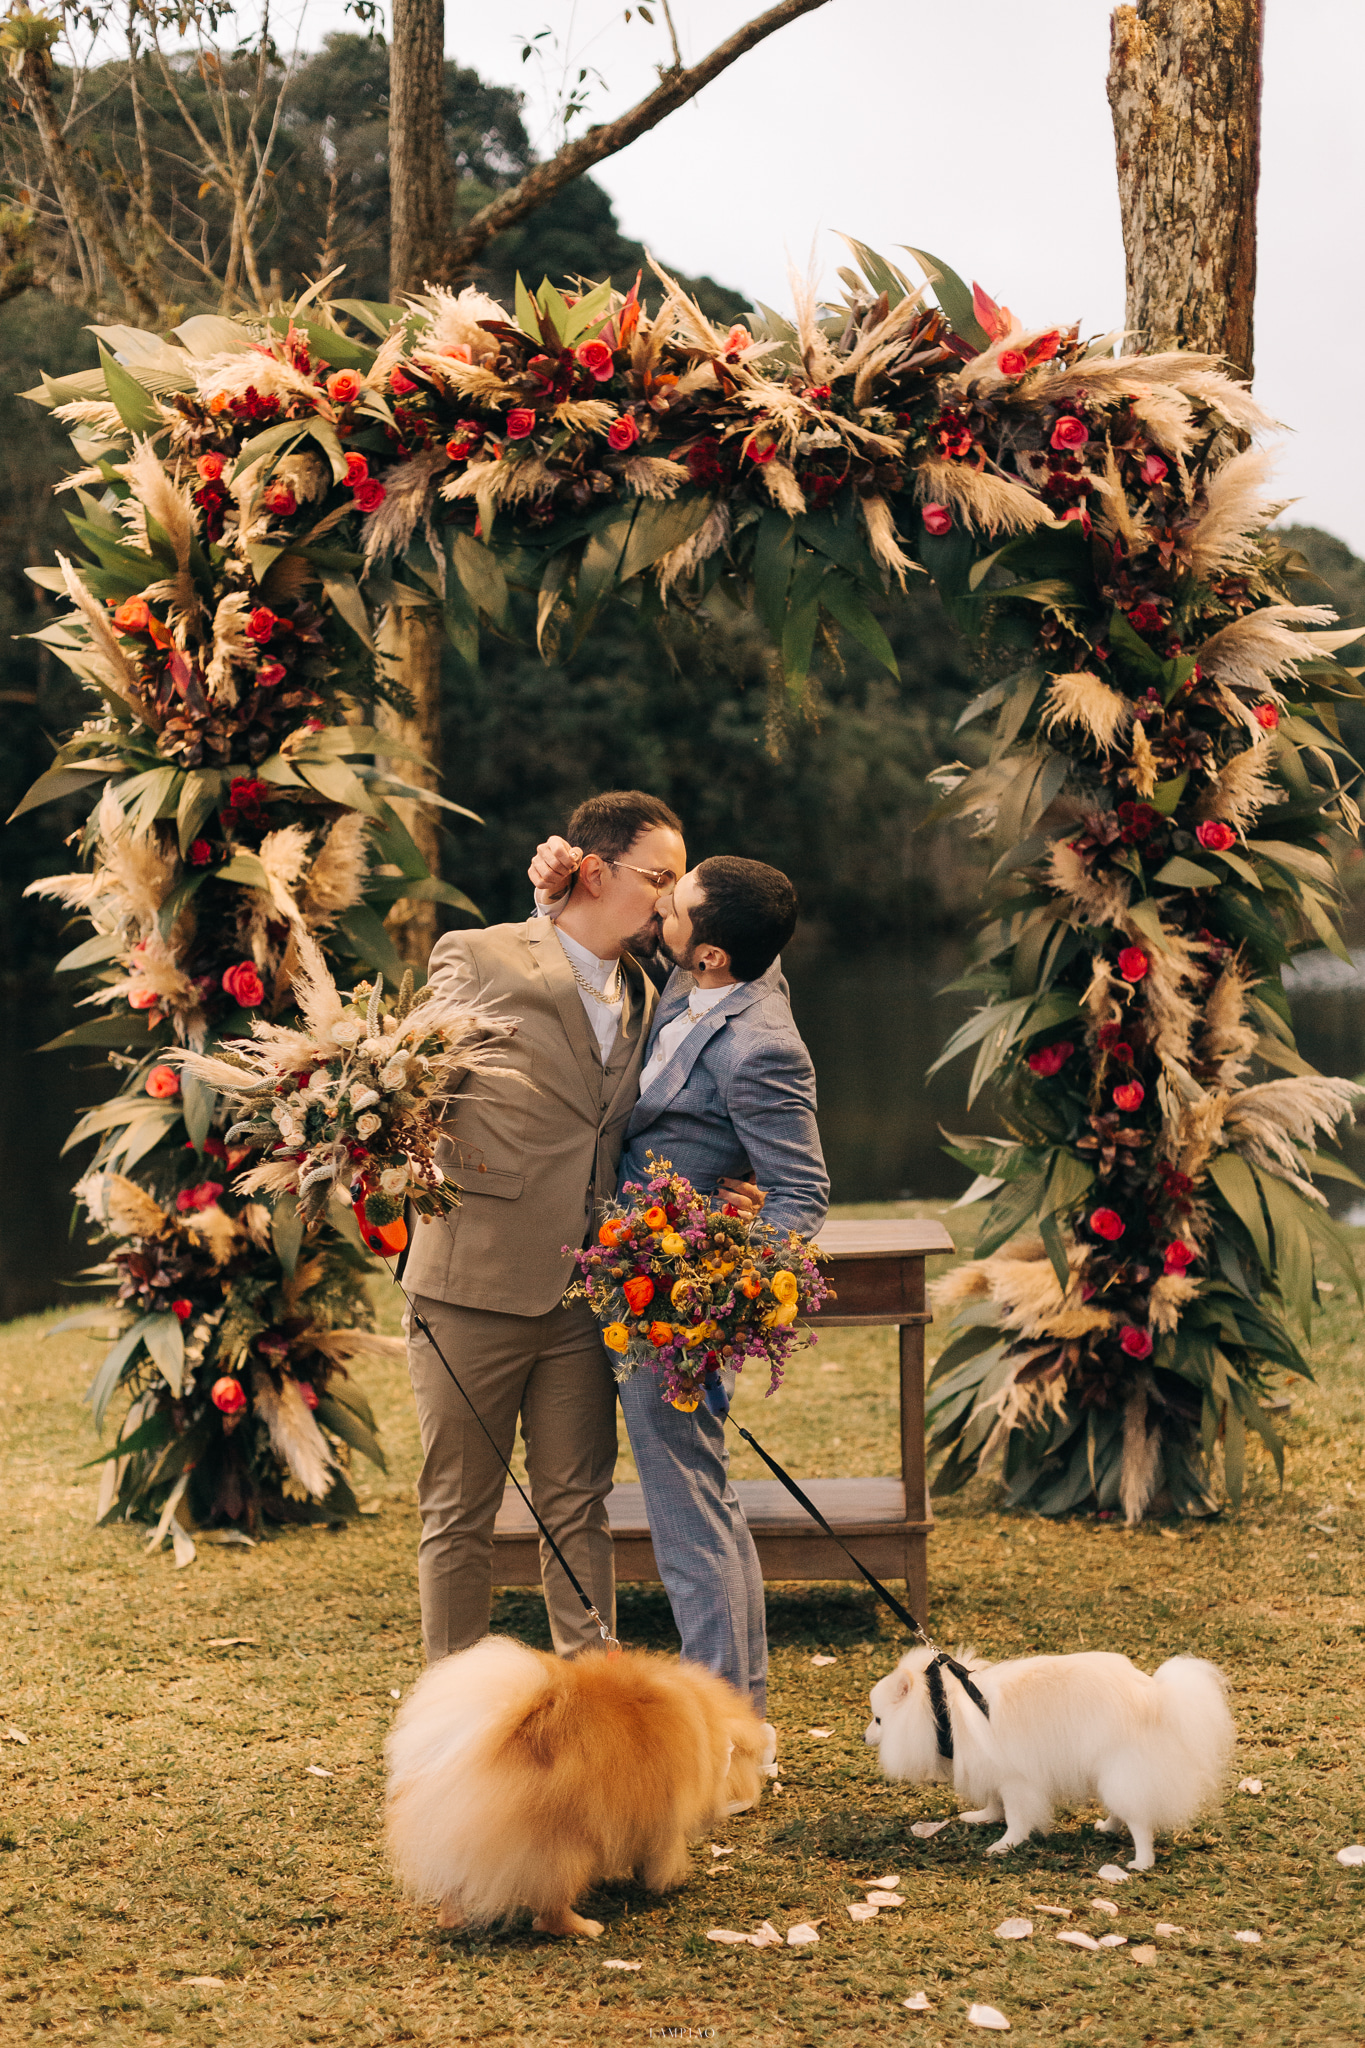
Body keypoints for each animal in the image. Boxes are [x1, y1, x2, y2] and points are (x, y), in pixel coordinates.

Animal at [384, 1630, 773, 1933]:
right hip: (563, 1849)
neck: (706, 1721)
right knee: (551, 1911)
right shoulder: (665, 1820)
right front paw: (665, 1882)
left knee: (454, 1888)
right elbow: (662, 1856)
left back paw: (451, 1919)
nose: (752, 1789)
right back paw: (584, 1927)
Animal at [863, 1638, 1236, 1867]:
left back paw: (1141, 1862)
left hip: (1121, 1770)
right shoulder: (996, 1771)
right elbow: (994, 1803)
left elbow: (1016, 1818)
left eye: (878, 1719)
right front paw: (983, 1817)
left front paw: (1005, 1844)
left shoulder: (1017, 1781)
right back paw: (1108, 1827)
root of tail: (1156, 1695)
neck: (943, 1711)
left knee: (1140, 1821)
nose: (864, 1736)